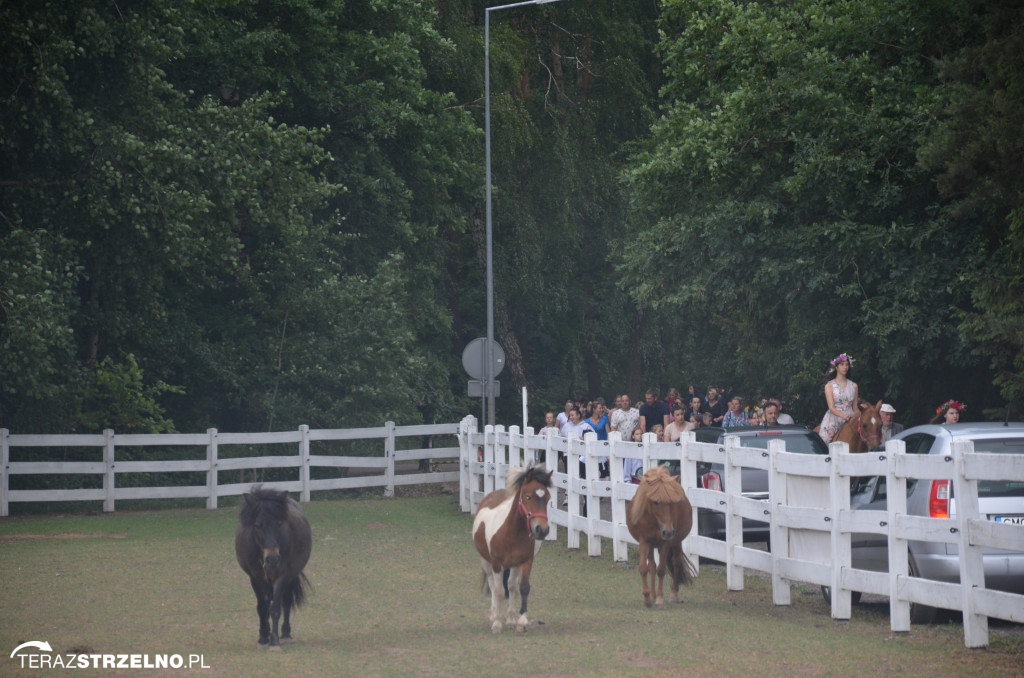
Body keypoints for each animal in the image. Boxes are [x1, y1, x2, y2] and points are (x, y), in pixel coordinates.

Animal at [235, 485, 311, 651]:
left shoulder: (282, 576)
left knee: (286, 601)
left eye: (279, 524)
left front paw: (274, 641)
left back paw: (286, 633)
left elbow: (275, 609)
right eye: (257, 525)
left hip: (289, 577)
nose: (272, 559)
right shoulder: (255, 578)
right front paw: (263, 638)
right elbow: (262, 608)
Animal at [471, 464, 552, 634]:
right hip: (486, 562)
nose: (542, 530)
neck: (512, 532)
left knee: (512, 587)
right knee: (493, 586)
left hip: (513, 565)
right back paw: (493, 616)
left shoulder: (526, 562)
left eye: (548, 498)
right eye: (527, 497)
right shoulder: (497, 564)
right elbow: (498, 591)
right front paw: (496, 623)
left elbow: (523, 588)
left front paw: (521, 622)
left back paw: (509, 619)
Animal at [622, 467, 696, 610]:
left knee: (676, 562)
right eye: (656, 502)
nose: (668, 532)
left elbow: (661, 570)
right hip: (652, 545)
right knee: (652, 565)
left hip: (676, 542)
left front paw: (660, 600)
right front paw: (647, 598)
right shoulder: (644, 541)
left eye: (673, 503)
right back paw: (653, 595)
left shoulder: (666, 543)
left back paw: (673, 594)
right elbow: (644, 568)